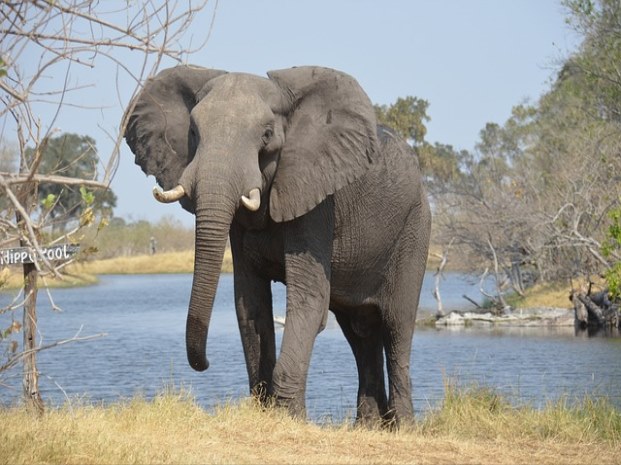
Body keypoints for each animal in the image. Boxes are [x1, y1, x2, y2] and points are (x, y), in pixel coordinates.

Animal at [123, 64, 428, 424]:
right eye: (194, 132)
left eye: (267, 135)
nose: (205, 363)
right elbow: (249, 303)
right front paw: (266, 410)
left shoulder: (316, 198)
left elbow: (309, 299)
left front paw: (290, 417)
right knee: (360, 330)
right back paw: (368, 427)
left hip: (415, 228)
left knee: (397, 325)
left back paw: (403, 426)